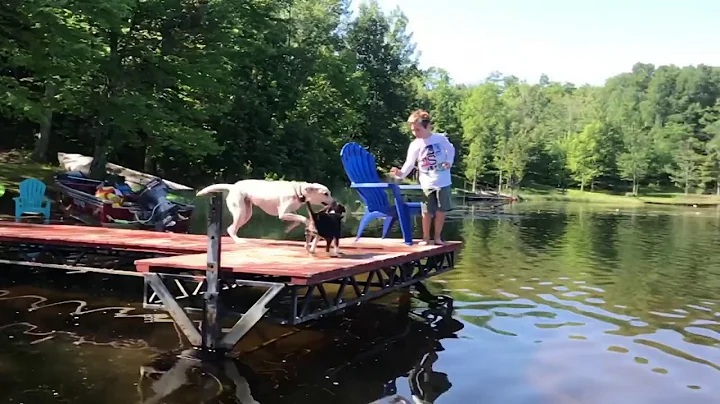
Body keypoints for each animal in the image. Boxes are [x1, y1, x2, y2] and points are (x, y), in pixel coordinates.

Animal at [195, 180, 334, 243]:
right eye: (326, 194)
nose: (335, 202)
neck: (297, 191)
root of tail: (233, 186)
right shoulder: (283, 213)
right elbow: (304, 219)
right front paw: (307, 224)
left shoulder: (290, 212)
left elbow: (296, 221)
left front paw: (287, 229)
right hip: (240, 212)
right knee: (231, 229)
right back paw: (239, 240)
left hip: (246, 214)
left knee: (233, 227)